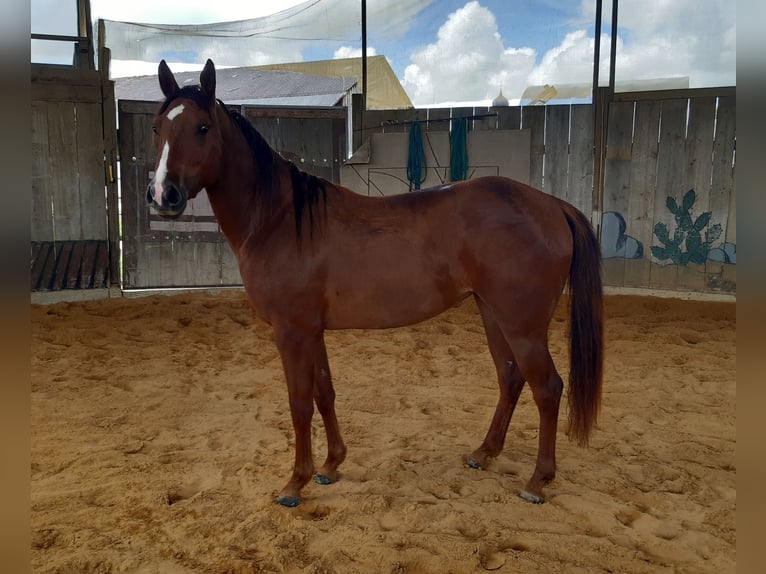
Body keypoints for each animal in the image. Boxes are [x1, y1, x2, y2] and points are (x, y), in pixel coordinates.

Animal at [146, 59, 603, 508]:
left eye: (202, 127)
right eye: (158, 128)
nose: (163, 195)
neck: (280, 219)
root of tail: (553, 205)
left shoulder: (292, 332)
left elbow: (299, 404)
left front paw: (295, 483)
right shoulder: (312, 331)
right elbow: (324, 393)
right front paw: (330, 466)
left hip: (522, 325)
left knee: (548, 389)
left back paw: (537, 481)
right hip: (492, 314)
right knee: (510, 378)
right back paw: (483, 453)